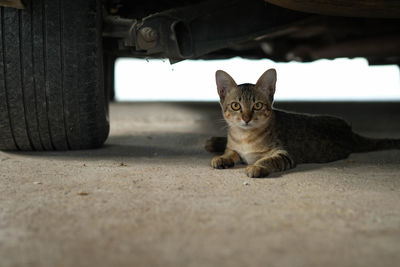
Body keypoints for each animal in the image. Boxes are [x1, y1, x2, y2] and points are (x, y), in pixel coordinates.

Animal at [206, 69, 400, 178]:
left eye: (258, 105)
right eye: (236, 105)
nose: (246, 118)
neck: (245, 137)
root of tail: (350, 131)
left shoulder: (285, 155)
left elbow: (268, 160)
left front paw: (257, 166)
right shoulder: (234, 147)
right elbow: (231, 151)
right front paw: (223, 157)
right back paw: (214, 142)